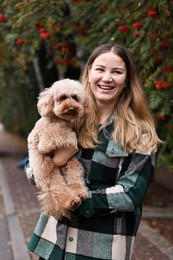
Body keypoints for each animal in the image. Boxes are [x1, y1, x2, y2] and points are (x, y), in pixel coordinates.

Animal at [28, 78, 89, 219]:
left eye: (75, 97)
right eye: (62, 97)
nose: (72, 108)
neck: (57, 119)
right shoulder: (43, 137)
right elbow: (56, 134)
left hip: (73, 164)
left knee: (75, 181)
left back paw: (80, 194)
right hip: (52, 174)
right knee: (59, 190)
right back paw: (71, 200)